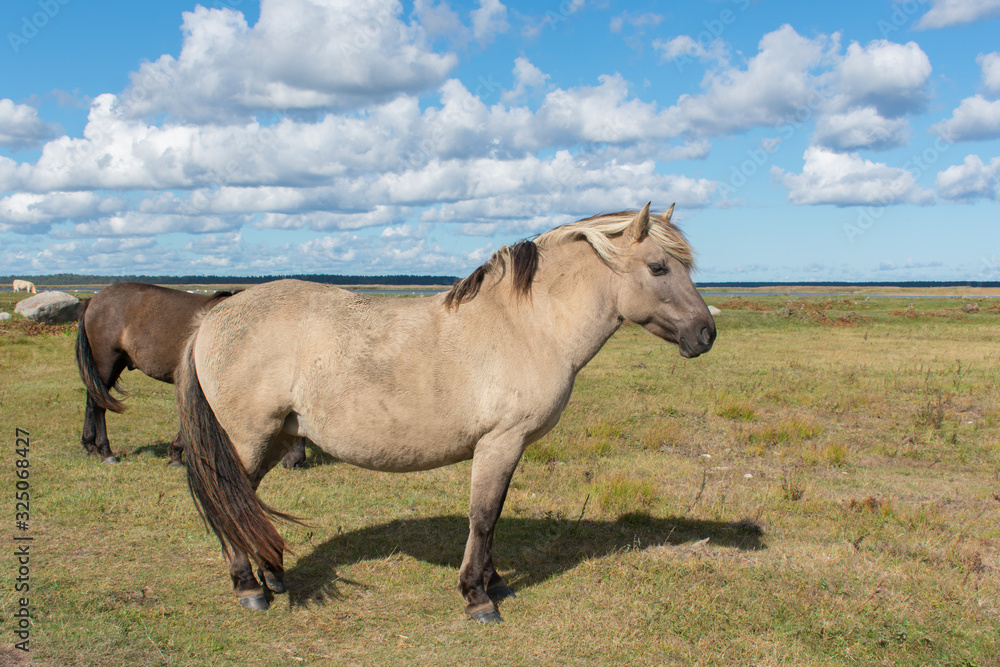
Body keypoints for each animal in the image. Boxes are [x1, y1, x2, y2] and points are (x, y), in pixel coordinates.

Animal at [76, 282, 307, 465]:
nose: (296, 462)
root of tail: (93, 300)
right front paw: (178, 454)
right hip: (106, 362)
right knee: (98, 406)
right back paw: (106, 452)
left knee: (92, 402)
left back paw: (90, 447)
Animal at [177, 204, 716, 621]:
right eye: (659, 267)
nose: (706, 334)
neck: (529, 324)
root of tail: (212, 316)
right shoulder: (500, 442)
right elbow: (483, 516)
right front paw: (478, 596)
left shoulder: (508, 447)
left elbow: (494, 514)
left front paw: (495, 582)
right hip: (249, 439)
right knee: (225, 497)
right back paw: (249, 587)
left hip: (276, 438)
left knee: (242, 501)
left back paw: (271, 573)